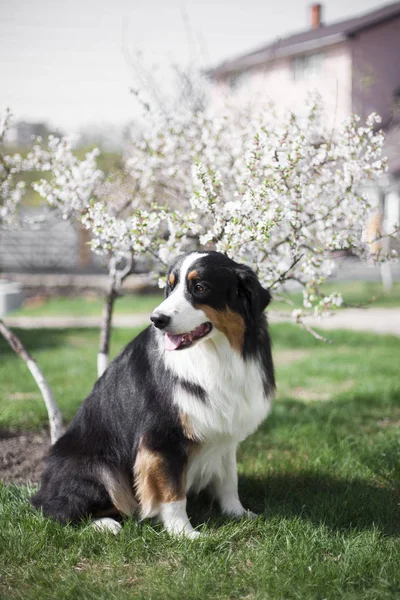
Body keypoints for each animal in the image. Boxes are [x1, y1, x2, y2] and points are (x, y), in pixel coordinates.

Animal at [31, 251, 276, 536]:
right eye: (170, 287)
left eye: (200, 288)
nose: (157, 319)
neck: (215, 356)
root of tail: (42, 490)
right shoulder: (161, 437)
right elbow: (172, 490)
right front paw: (184, 533)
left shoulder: (224, 430)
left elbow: (228, 479)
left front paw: (237, 513)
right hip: (97, 466)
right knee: (59, 509)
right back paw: (105, 524)